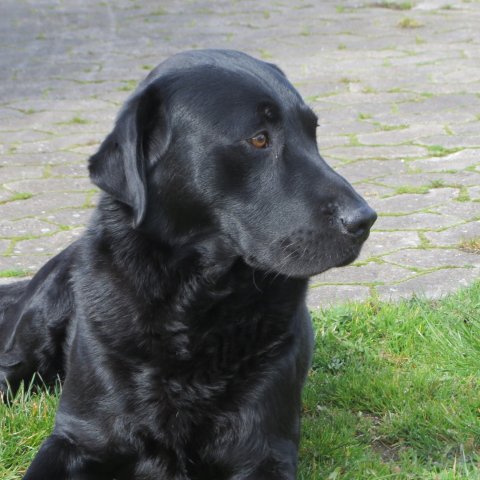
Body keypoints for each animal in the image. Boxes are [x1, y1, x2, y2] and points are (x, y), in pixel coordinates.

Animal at [0, 49, 376, 479]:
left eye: (312, 133)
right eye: (258, 138)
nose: (364, 220)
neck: (190, 299)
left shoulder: (264, 450)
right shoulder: (75, 437)